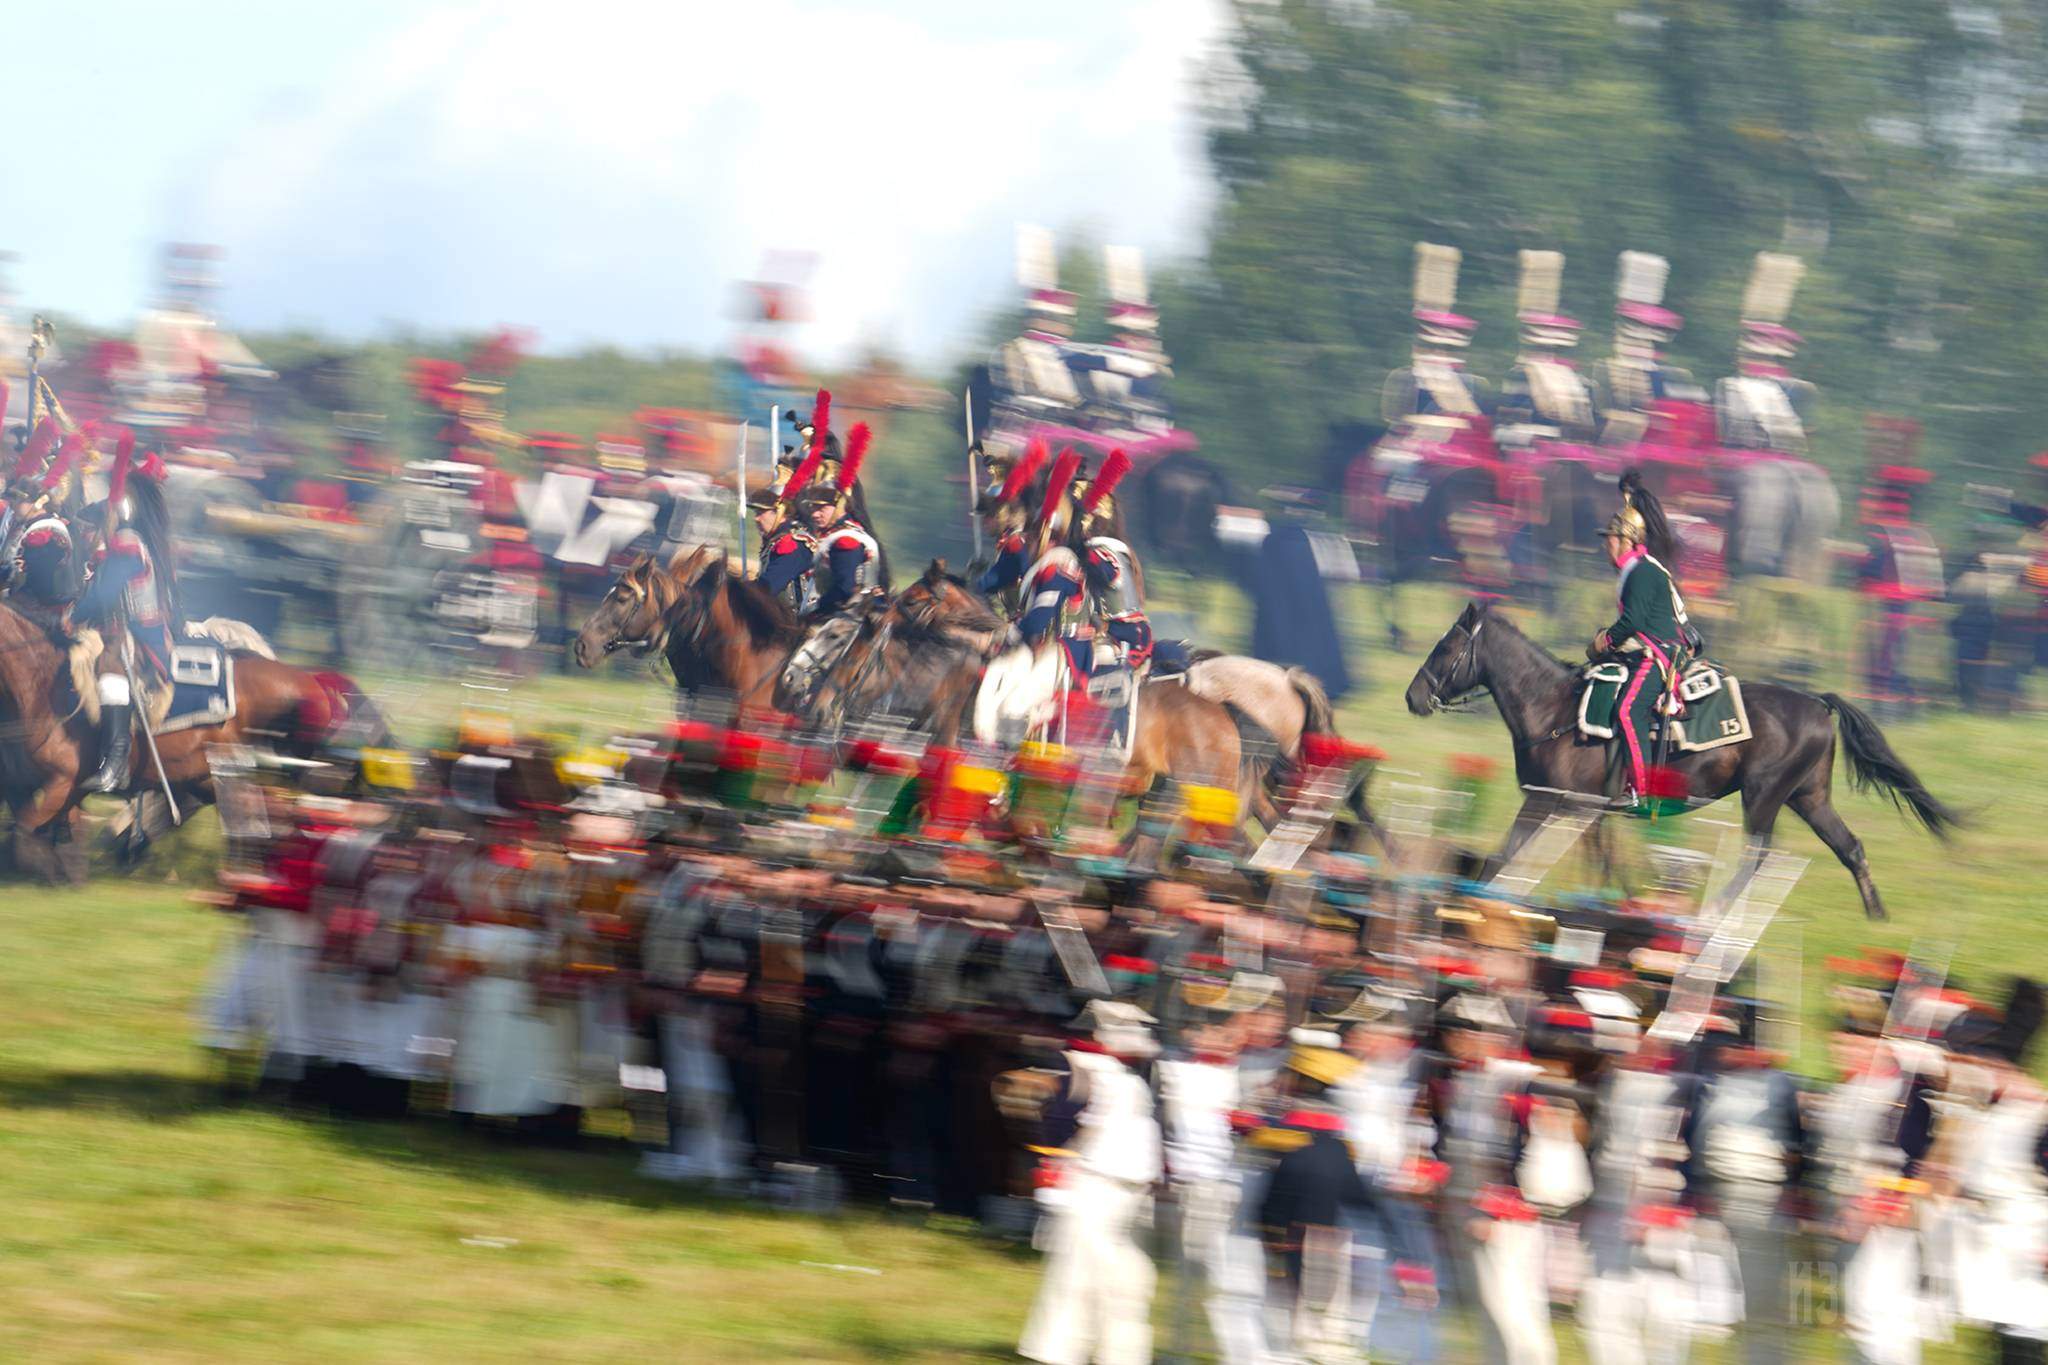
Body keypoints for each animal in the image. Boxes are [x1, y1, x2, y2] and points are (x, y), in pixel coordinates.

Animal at [0, 601, 385, 879]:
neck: (47, 689)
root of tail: (310, 680)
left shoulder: (62, 784)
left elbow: (25, 835)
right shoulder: (49, 790)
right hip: (215, 776)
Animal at [1400, 601, 1957, 925]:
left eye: (1446, 646)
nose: (1413, 697)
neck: (1554, 710)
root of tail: (1819, 705)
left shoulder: (1557, 804)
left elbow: (1506, 858)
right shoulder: (1581, 809)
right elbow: (1593, 860)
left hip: (1764, 796)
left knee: (1757, 855)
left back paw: (1716, 911)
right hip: (1809, 797)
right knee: (1850, 848)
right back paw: (1877, 917)